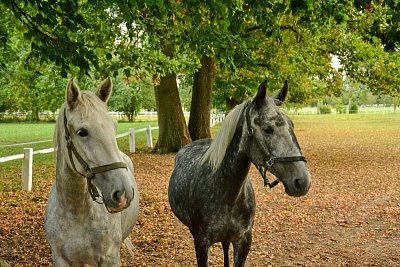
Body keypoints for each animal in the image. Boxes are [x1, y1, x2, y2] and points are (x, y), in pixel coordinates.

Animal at [44, 78, 139, 266]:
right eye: (82, 132)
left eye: (114, 127)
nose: (123, 193)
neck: (75, 214)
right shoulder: (61, 259)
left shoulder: (110, 258)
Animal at [169, 81, 312, 267]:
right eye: (268, 129)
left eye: (292, 126)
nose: (302, 181)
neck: (226, 194)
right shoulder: (201, 243)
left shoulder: (244, 241)